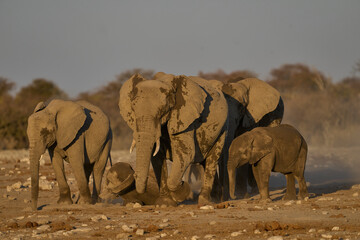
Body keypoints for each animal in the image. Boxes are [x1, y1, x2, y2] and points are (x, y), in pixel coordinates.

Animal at [120, 72, 228, 204]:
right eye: (133, 110)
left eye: (162, 110)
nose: (133, 174)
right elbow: (156, 157)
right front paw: (164, 204)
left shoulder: (185, 119)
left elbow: (186, 152)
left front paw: (182, 192)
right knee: (204, 161)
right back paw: (215, 198)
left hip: (223, 128)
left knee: (213, 158)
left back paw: (204, 201)